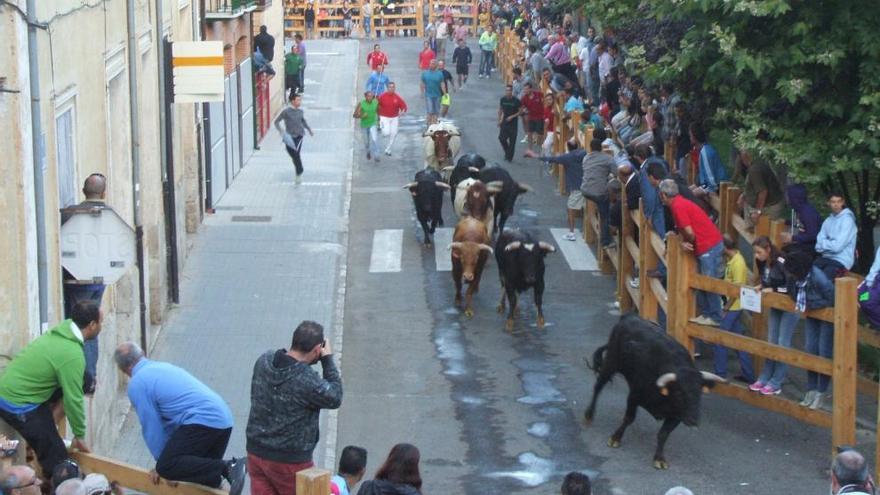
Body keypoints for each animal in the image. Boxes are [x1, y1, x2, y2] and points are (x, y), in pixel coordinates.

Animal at [584, 316, 720, 470]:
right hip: (611, 363)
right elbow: (628, 419)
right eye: (679, 392)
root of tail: (629, 317)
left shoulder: (678, 415)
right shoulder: (634, 397)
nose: (693, 420)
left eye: (699, 393)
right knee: (598, 386)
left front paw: (659, 458)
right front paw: (615, 438)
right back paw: (588, 415)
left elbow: (663, 434)